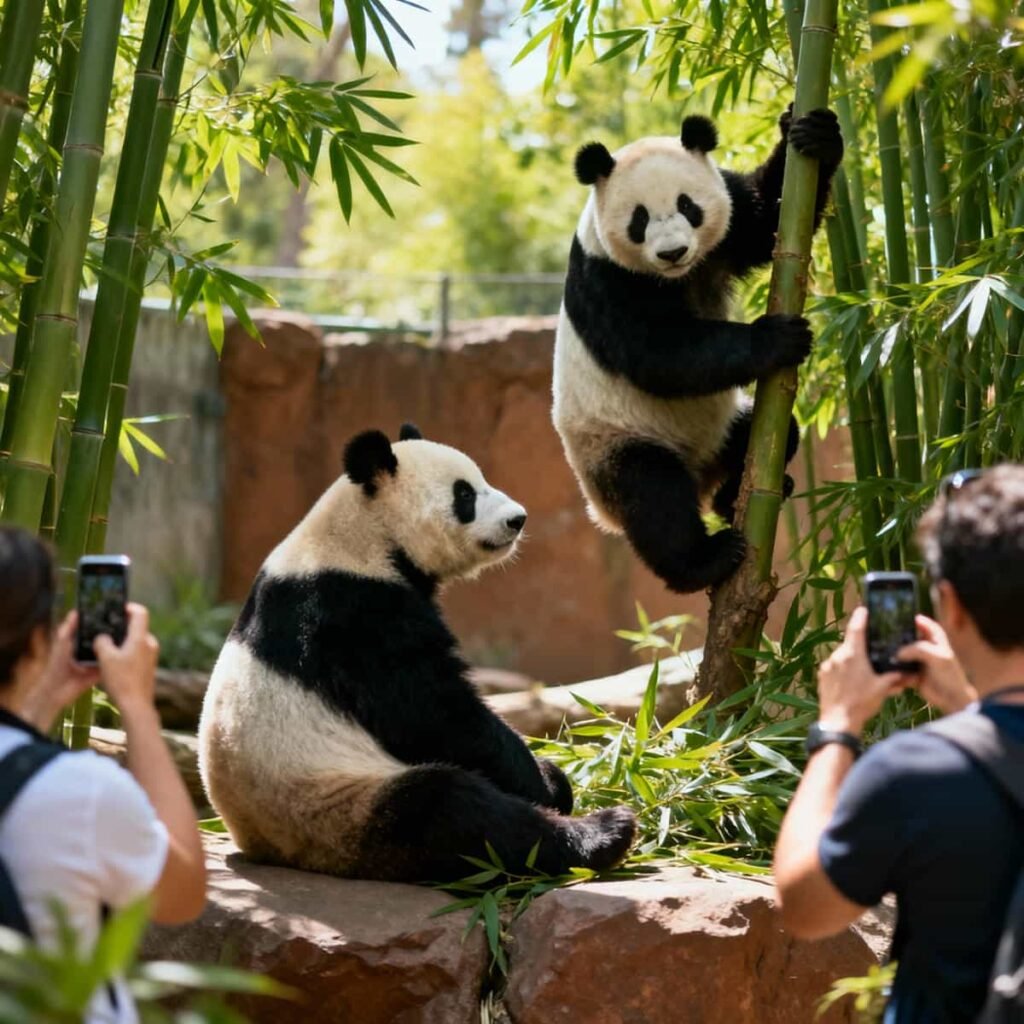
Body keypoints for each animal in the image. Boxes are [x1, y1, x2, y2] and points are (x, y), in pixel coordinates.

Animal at [198, 424, 637, 883]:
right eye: (464, 495)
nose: (518, 519)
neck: (362, 536)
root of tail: (269, 849)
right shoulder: (354, 614)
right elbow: (433, 712)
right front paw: (542, 784)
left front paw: (552, 775)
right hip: (337, 804)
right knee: (455, 812)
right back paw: (603, 833)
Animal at [552, 107, 843, 593]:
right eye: (639, 219)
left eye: (689, 206)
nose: (673, 252)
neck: (677, 277)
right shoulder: (607, 278)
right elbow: (659, 354)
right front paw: (778, 338)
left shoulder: (729, 223)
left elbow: (767, 217)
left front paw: (812, 132)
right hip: (612, 443)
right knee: (654, 496)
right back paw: (708, 558)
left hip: (726, 429)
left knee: (772, 433)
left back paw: (738, 496)